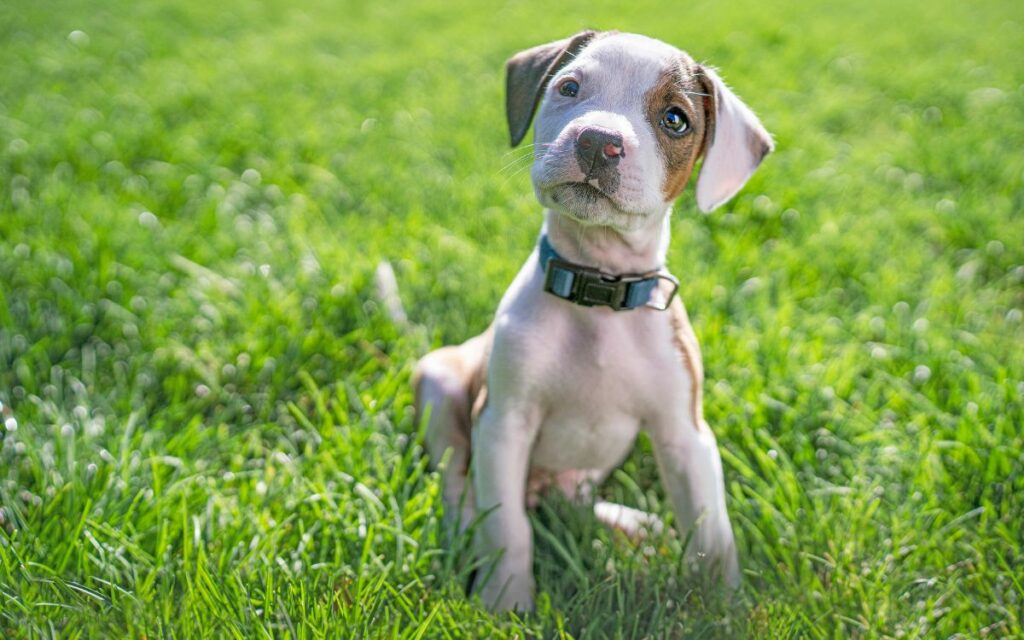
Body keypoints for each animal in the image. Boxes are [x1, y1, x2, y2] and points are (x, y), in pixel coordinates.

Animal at [411, 29, 770, 610]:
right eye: (570, 87)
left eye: (675, 119)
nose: (599, 141)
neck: (599, 293)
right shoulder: (503, 421)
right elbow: (508, 528)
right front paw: (505, 605)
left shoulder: (685, 436)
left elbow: (712, 533)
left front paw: (724, 608)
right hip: (439, 384)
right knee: (459, 487)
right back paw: (467, 532)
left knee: (576, 506)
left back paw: (632, 526)